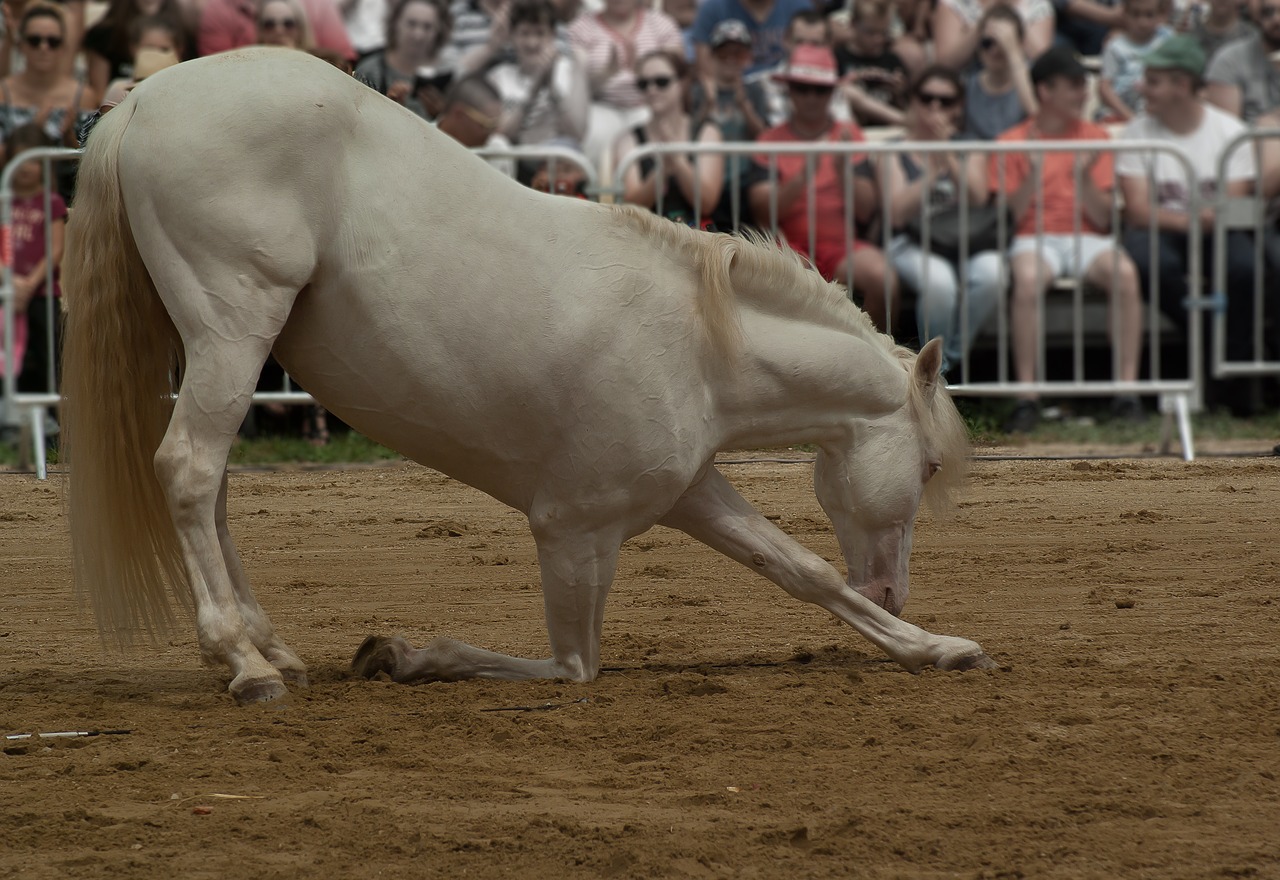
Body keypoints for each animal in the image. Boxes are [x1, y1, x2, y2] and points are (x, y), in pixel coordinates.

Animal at [62, 51, 998, 706]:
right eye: (928, 468)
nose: (894, 590)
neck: (703, 347)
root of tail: (138, 101)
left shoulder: (688, 491)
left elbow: (799, 569)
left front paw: (935, 648)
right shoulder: (573, 533)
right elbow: (571, 665)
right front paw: (405, 656)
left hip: (215, 351)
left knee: (212, 486)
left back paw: (274, 651)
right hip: (233, 330)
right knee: (189, 471)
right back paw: (245, 662)